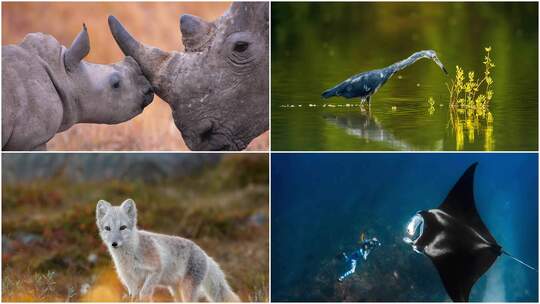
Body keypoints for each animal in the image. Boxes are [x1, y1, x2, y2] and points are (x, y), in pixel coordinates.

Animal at [96, 197, 240, 302]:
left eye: (123, 227)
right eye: (108, 228)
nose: (114, 244)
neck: (130, 256)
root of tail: (203, 252)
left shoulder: (155, 271)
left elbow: (145, 293)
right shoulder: (129, 279)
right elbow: (134, 296)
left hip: (187, 289)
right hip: (174, 289)